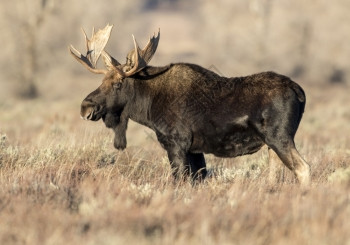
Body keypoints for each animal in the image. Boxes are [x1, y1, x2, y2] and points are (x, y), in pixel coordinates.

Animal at [69, 24, 310, 186]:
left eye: (118, 83)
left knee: (303, 168)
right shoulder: (195, 150)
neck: (148, 107)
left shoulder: (176, 143)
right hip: (271, 144)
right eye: (101, 81)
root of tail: (300, 92)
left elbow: (180, 180)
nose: (85, 107)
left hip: (279, 137)